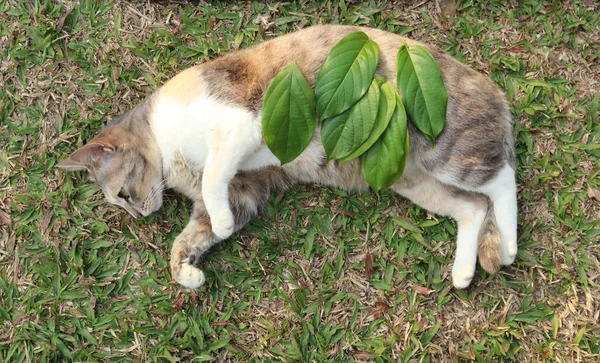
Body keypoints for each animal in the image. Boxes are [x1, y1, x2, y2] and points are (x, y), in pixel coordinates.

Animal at [58, 24, 516, 290]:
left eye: (122, 194)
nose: (139, 216)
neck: (167, 148)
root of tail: (494, 88)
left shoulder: (242, 127)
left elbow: (213, 180)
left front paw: (220, 225)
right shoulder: (242, 192)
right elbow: (186, 238)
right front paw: (187, 272)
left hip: (443, 149)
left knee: (501, 181)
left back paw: (509, 244)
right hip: (413, 181)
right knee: (473, 207)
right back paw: (463, 272)